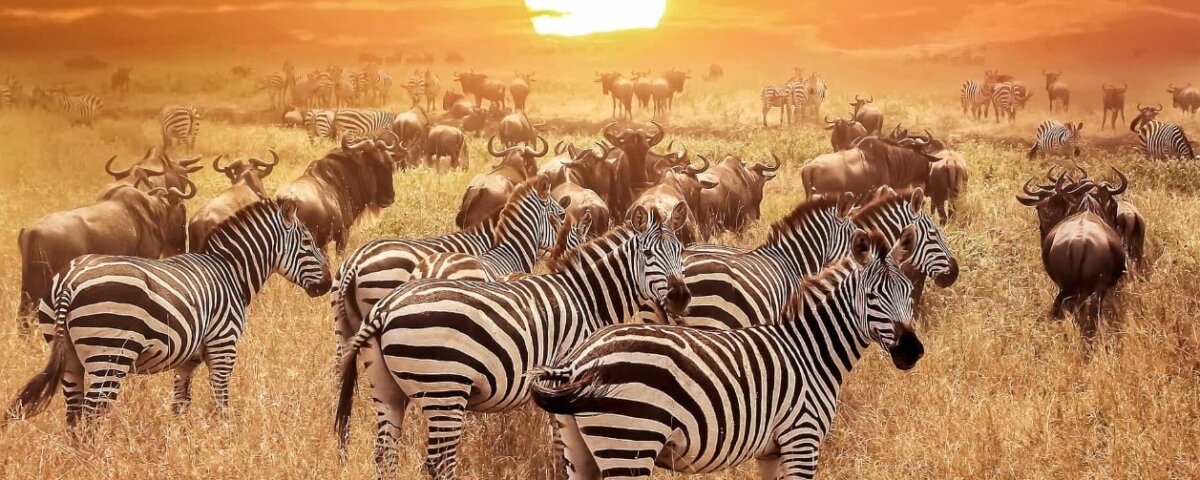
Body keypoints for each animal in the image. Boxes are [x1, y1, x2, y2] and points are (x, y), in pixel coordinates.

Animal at [5, 200, 331, 427]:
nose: (328, 284)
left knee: (74, 415)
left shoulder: (187, 360)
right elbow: (220, 401)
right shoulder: (224, 346)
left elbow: (180, 404)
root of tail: (70, 281)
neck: (230, 272)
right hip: (109, 355)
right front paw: (223, 438)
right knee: (91, 416)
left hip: (69, 356)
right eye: (307, 243)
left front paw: (181, 443)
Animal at [334, 204, 690, 480]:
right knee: (438, 461)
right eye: (648, 254)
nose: (681, 296)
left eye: (681, 252)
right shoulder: (564, 377)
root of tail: (385, 308)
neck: (584, 298)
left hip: (387, 387)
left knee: (384, 452)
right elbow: (561, 441)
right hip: (444, 387)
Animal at [530, 228, 922, 480]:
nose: (913, 352)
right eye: (872, 296)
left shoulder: (771, 450)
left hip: (579, 449)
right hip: (629, 442)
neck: (811, 351)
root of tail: (579, 361)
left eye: (908, 291)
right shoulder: (802, 438)